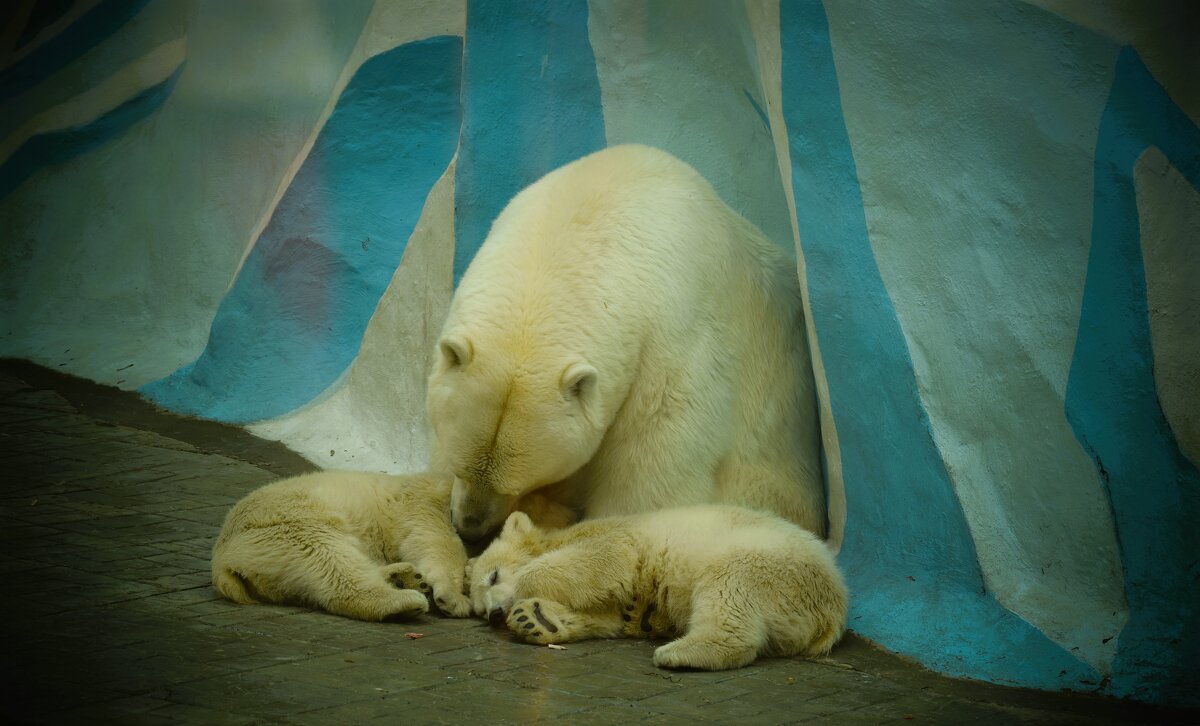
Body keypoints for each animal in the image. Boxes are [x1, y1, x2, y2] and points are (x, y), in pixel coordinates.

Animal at [211, 472, 468, 619]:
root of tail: (221, 560)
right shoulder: (423, 499)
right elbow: (433, 539)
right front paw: (455, 599)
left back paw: (405, 577)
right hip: (289, 522)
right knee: (328, 558)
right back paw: (405, 599)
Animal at [463, 504, 849, 667]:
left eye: (494, 575)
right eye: (481, 611)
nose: (495, 614)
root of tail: (831, 615)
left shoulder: (617, 537)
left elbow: (606, 558)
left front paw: (526, 592)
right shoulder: (628, 598)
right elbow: (610, 615)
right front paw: (535, 618)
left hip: (770, 563)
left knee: (729, 587)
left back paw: (678, 652)